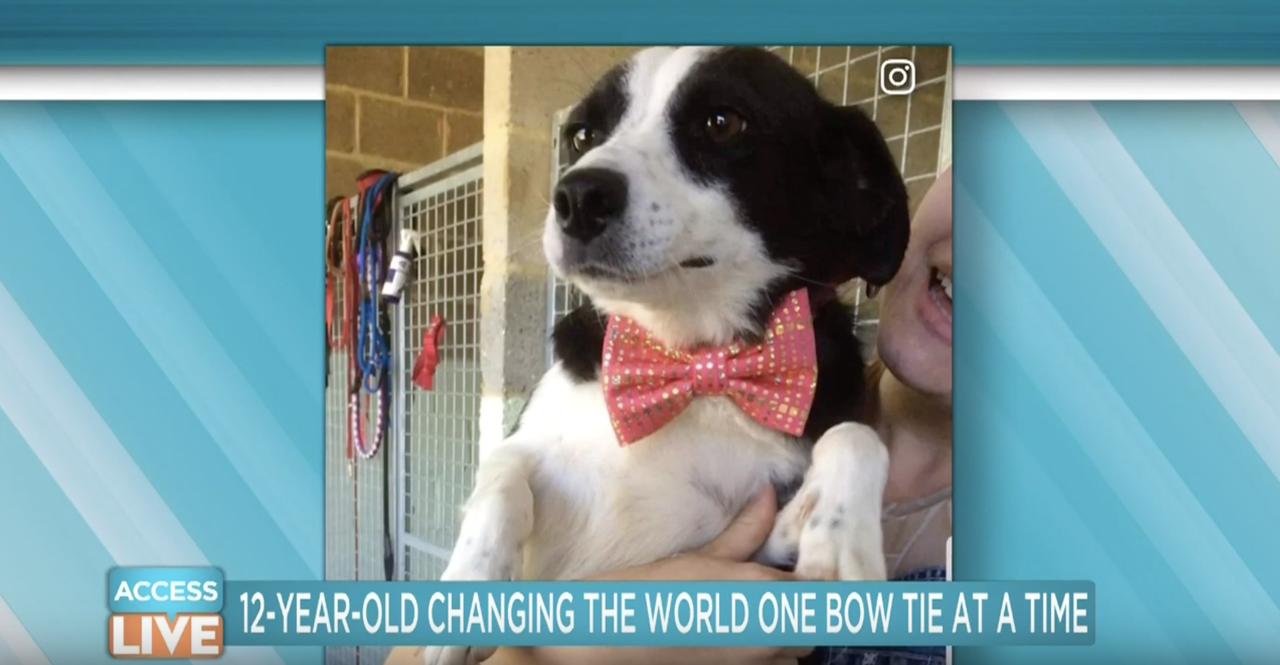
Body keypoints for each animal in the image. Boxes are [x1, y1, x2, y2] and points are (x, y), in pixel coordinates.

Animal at [424, 46, 916, 665]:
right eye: (583, 134)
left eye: (722, 122)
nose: (577, 197)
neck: (692, 360)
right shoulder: (530, 437)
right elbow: (502, 470)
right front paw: (469, 583)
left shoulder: (759, 546)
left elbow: (855, 437)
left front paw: (843, 537)